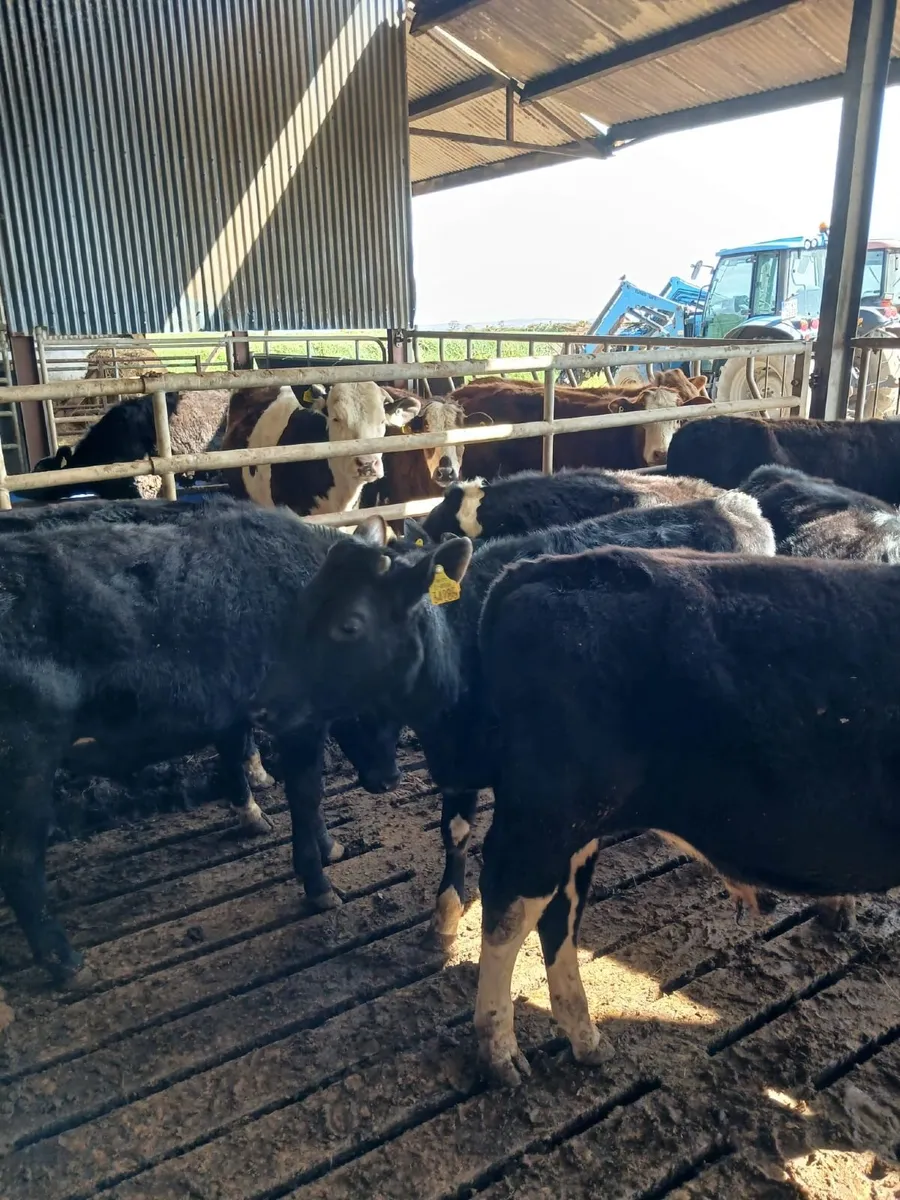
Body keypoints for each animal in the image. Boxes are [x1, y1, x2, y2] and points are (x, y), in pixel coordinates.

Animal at [0, 504, 412, 981]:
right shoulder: (297, 723)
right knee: (18, 860)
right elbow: (306, 793)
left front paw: (321, 843)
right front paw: (319, 884)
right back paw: (66, 963)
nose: (388, 780)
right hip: (27, 753)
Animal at [293, 491, 774, 953]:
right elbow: (455, 833)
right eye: (307, 600)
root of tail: (736, 504)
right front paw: (443, 921)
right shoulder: (458, 765)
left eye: (350, 624)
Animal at [468, 546, 900, 1084]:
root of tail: (543, 566)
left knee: (557, 917)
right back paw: (499, 1050)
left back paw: (586, 1040)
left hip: (573, 830)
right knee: (506, 912)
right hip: (544, 820)